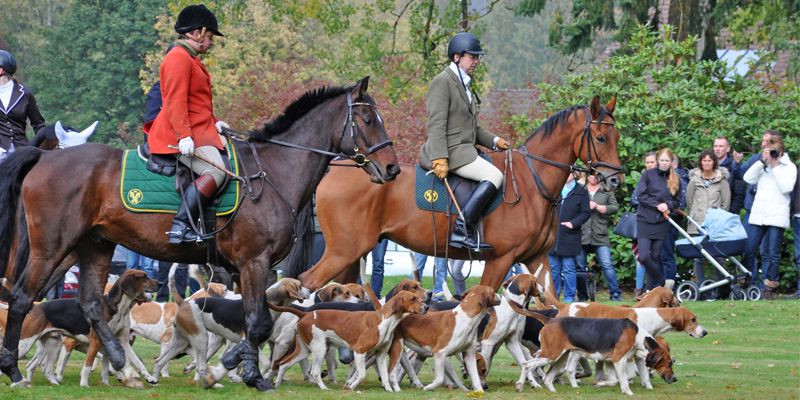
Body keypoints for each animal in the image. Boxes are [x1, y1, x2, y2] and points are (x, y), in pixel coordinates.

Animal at [0, 76, 398, 390]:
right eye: (366, 119)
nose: (392, 168)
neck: (272, 173)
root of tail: (45, 157)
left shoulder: (249, 268)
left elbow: (257, 321)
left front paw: (242, 369)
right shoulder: (254, 261)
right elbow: (257, 323)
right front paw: (235, 372)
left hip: (93, 246)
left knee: (92, 305)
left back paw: (122, 366)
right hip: (52, 247)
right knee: (21, 298)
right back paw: (14, 371)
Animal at [296, 97, 620, 296]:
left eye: (617, 137)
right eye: (601, 138)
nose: (616, 180)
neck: (531, 181)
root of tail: (336, 168)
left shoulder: (536, 259)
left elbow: (556, 309)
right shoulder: (501, 260)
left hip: (352, 252)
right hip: (344, 250)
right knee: (307, 283)